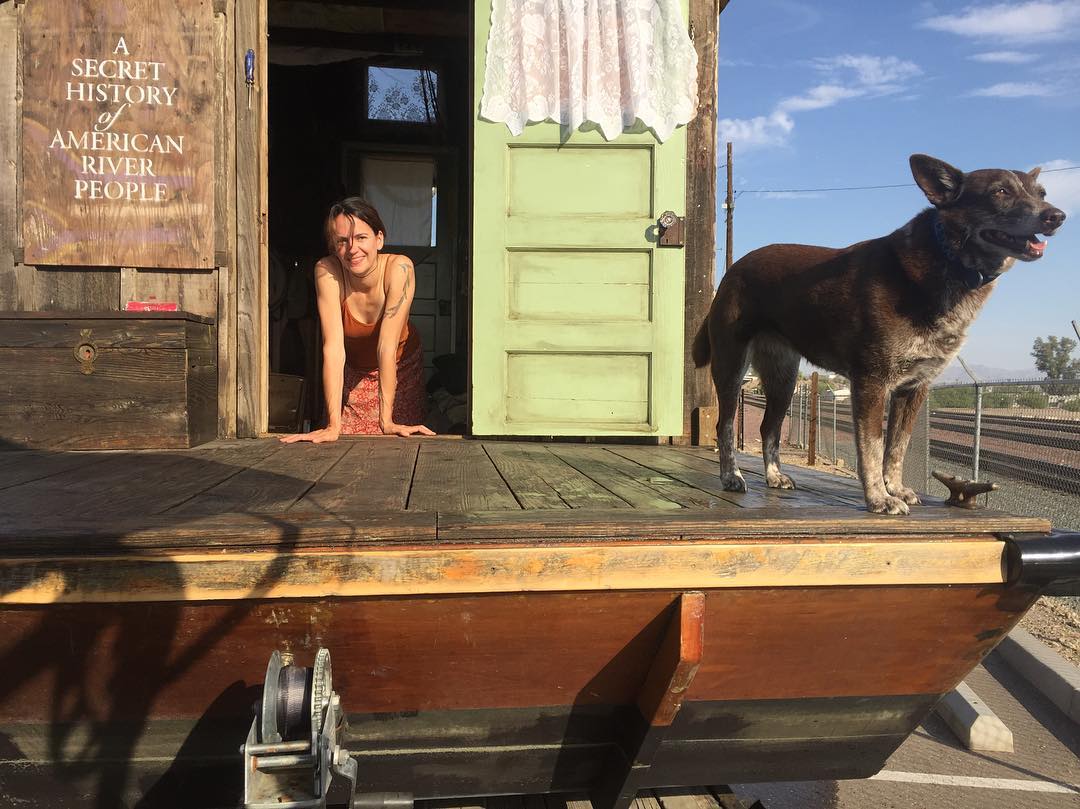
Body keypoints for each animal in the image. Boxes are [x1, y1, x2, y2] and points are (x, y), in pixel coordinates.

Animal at [695, 154, 1067, 514]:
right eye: (1000, 192)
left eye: (1042, 193)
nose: (1057, 216)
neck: (947, 259)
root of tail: (733, 270)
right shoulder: (871, 382)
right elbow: (872, 447)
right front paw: (879, 498)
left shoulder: (914, 388)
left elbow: (897, 447)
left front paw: (896, 488)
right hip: (732, 368)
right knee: (725, 425)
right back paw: (732, 476)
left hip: (783, 379)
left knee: (767, 428)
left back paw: (774, 476)